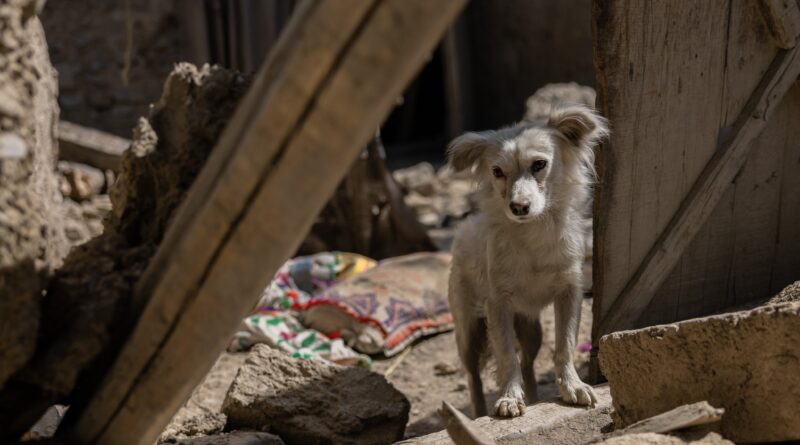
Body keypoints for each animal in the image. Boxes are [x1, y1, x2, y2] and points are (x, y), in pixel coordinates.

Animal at [446, 103, 608, 416]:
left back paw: (532, 397)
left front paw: (572, 386)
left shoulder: (569, 294)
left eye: (539, 165)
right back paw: (479, 411)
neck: (532, 232)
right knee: (473, 376)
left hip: (532, 330)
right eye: (497, 172)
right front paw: (509, 398)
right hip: (468, 331)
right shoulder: (497, 305)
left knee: (529, 363)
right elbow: (507, 356)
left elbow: (565, 345)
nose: (518, 207)